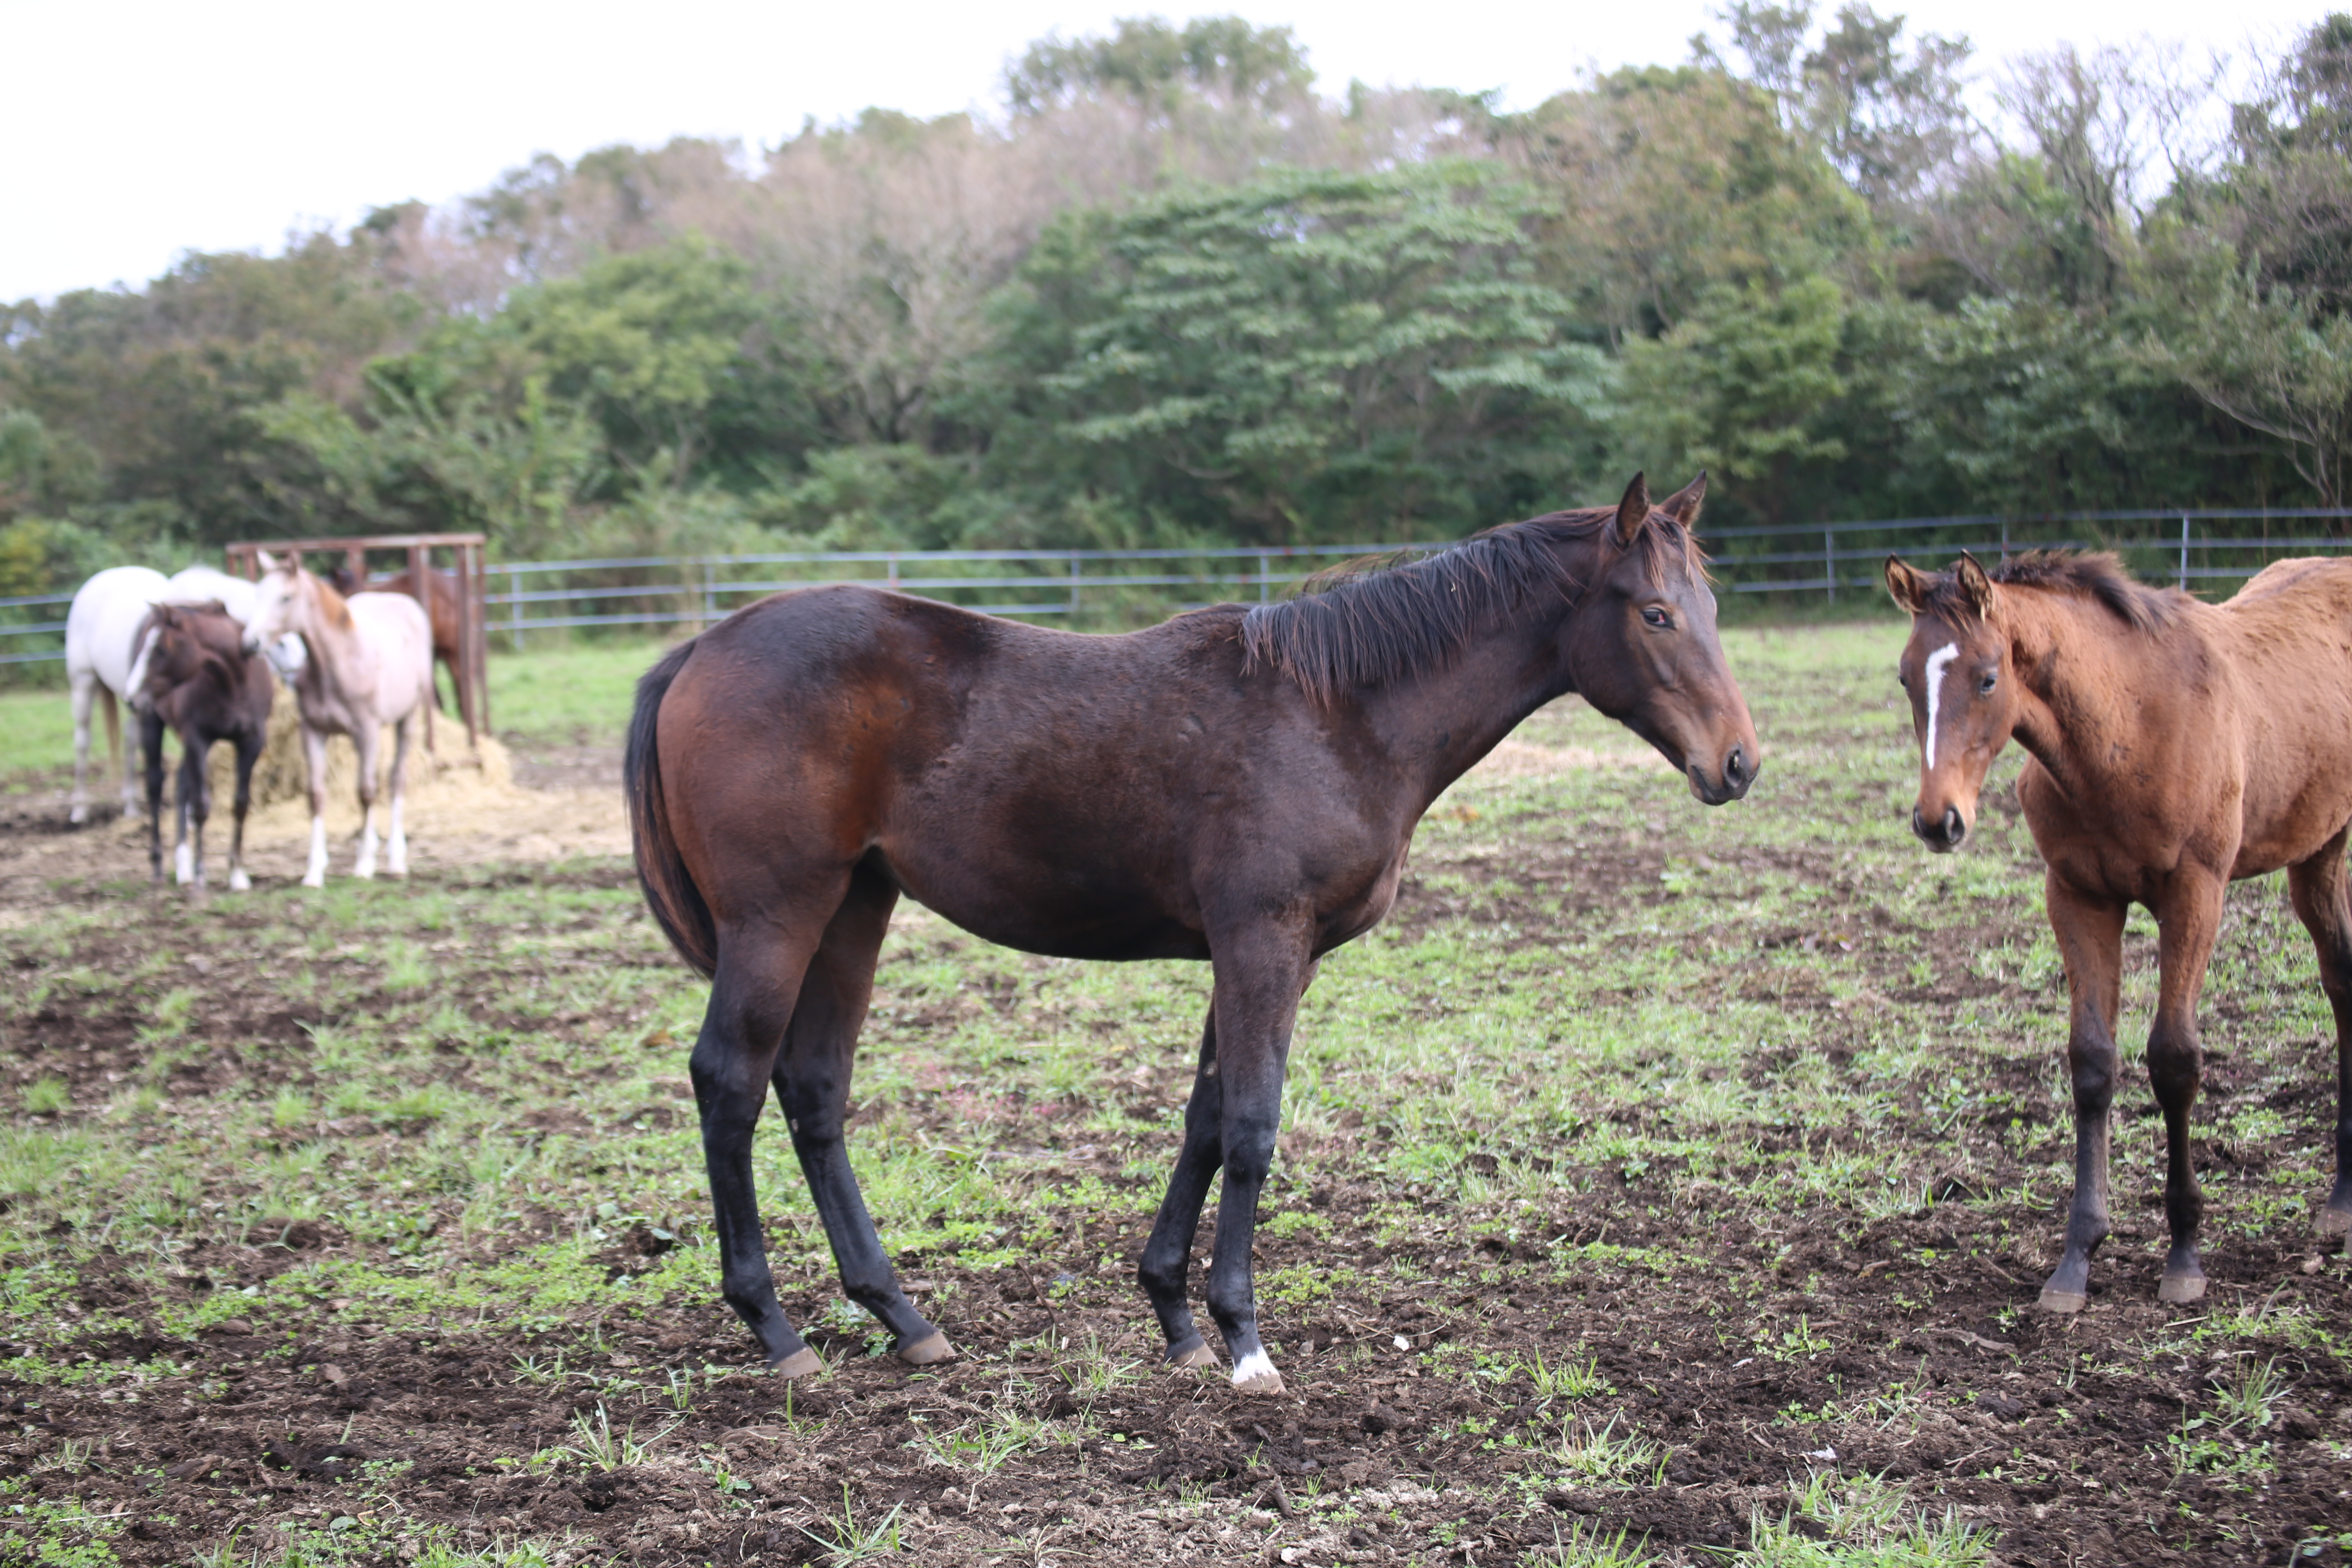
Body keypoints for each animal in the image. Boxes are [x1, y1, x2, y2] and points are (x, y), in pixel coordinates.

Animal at [243, 557, 437, 889]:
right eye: (258, 594)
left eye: (286, 597)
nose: (250, 643)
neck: (338, 662)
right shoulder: (313, 733)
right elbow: (316, 795)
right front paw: (314, 871)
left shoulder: (366, 732)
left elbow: (366, 792)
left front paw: (364, 865)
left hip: (407, 720)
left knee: (396, 780)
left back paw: (396, 860)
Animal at [630, 472, 1768, 1392]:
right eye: (1657, 614)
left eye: (1709, 607)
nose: (1738, 763)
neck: (1340, 716)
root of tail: (700, 649)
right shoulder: (1261, 940)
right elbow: (1254, 1127)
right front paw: (1243, 1341)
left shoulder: (1266, 956)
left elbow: (1205, 1120)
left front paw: (1175, 1318)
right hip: (776, 916)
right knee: (730, 1082)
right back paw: (777, 1332)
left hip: (853, 909)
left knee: (814, 1090)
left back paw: (903, 1319)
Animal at [1882, 552, 2352, 1316]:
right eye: (1904, 676)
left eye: (1988, 677)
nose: (1937, 820)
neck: (2123, 729)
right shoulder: (2078, 897)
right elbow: (2093, 1063)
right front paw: (2077, 1258)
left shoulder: (2196, 893)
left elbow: (2174, 1059)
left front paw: (2185, 1254)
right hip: (2317, 850)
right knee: (2342, 980)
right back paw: (2341, 1201)